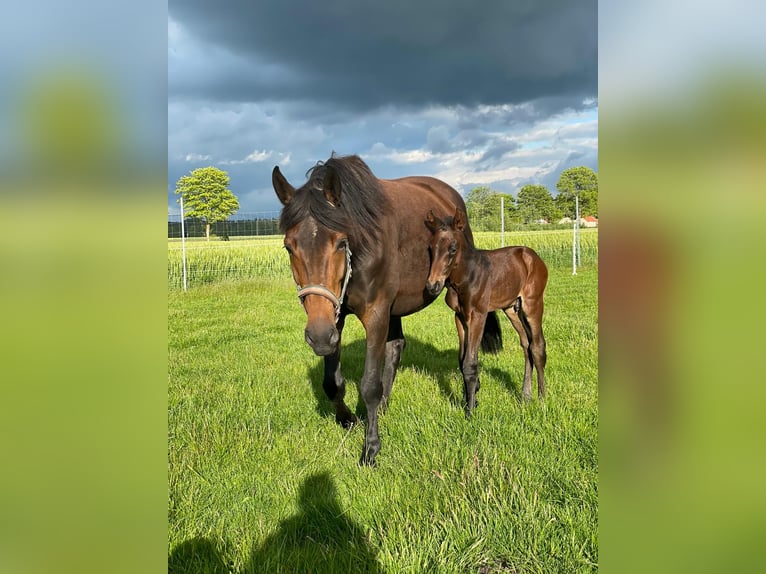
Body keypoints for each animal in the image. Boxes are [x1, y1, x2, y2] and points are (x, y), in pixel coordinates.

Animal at [272, 154, 504, 468]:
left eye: (340, 243)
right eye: (289, 247)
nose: (317, 336)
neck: (361, 250)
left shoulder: (376, 313)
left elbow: (369, 384)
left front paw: (370, 448)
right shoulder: (336, 317)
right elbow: (332, 382)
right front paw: (348, 420)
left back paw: (472, 393)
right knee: (396, 347)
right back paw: (384, 407)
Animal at [426, 209, 552, 416]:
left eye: (452, 249)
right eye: (430, 248)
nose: (432, 285)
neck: (466, 277)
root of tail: (533, 256)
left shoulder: (478, 315)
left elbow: (470, 363)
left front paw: (470, 411)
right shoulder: (459, 317)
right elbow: (462, 360)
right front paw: (470, 400)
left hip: (533, 304)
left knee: (537, 346)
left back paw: (542, 398)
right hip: (511, 309)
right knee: (526, 344)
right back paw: (526, 395)